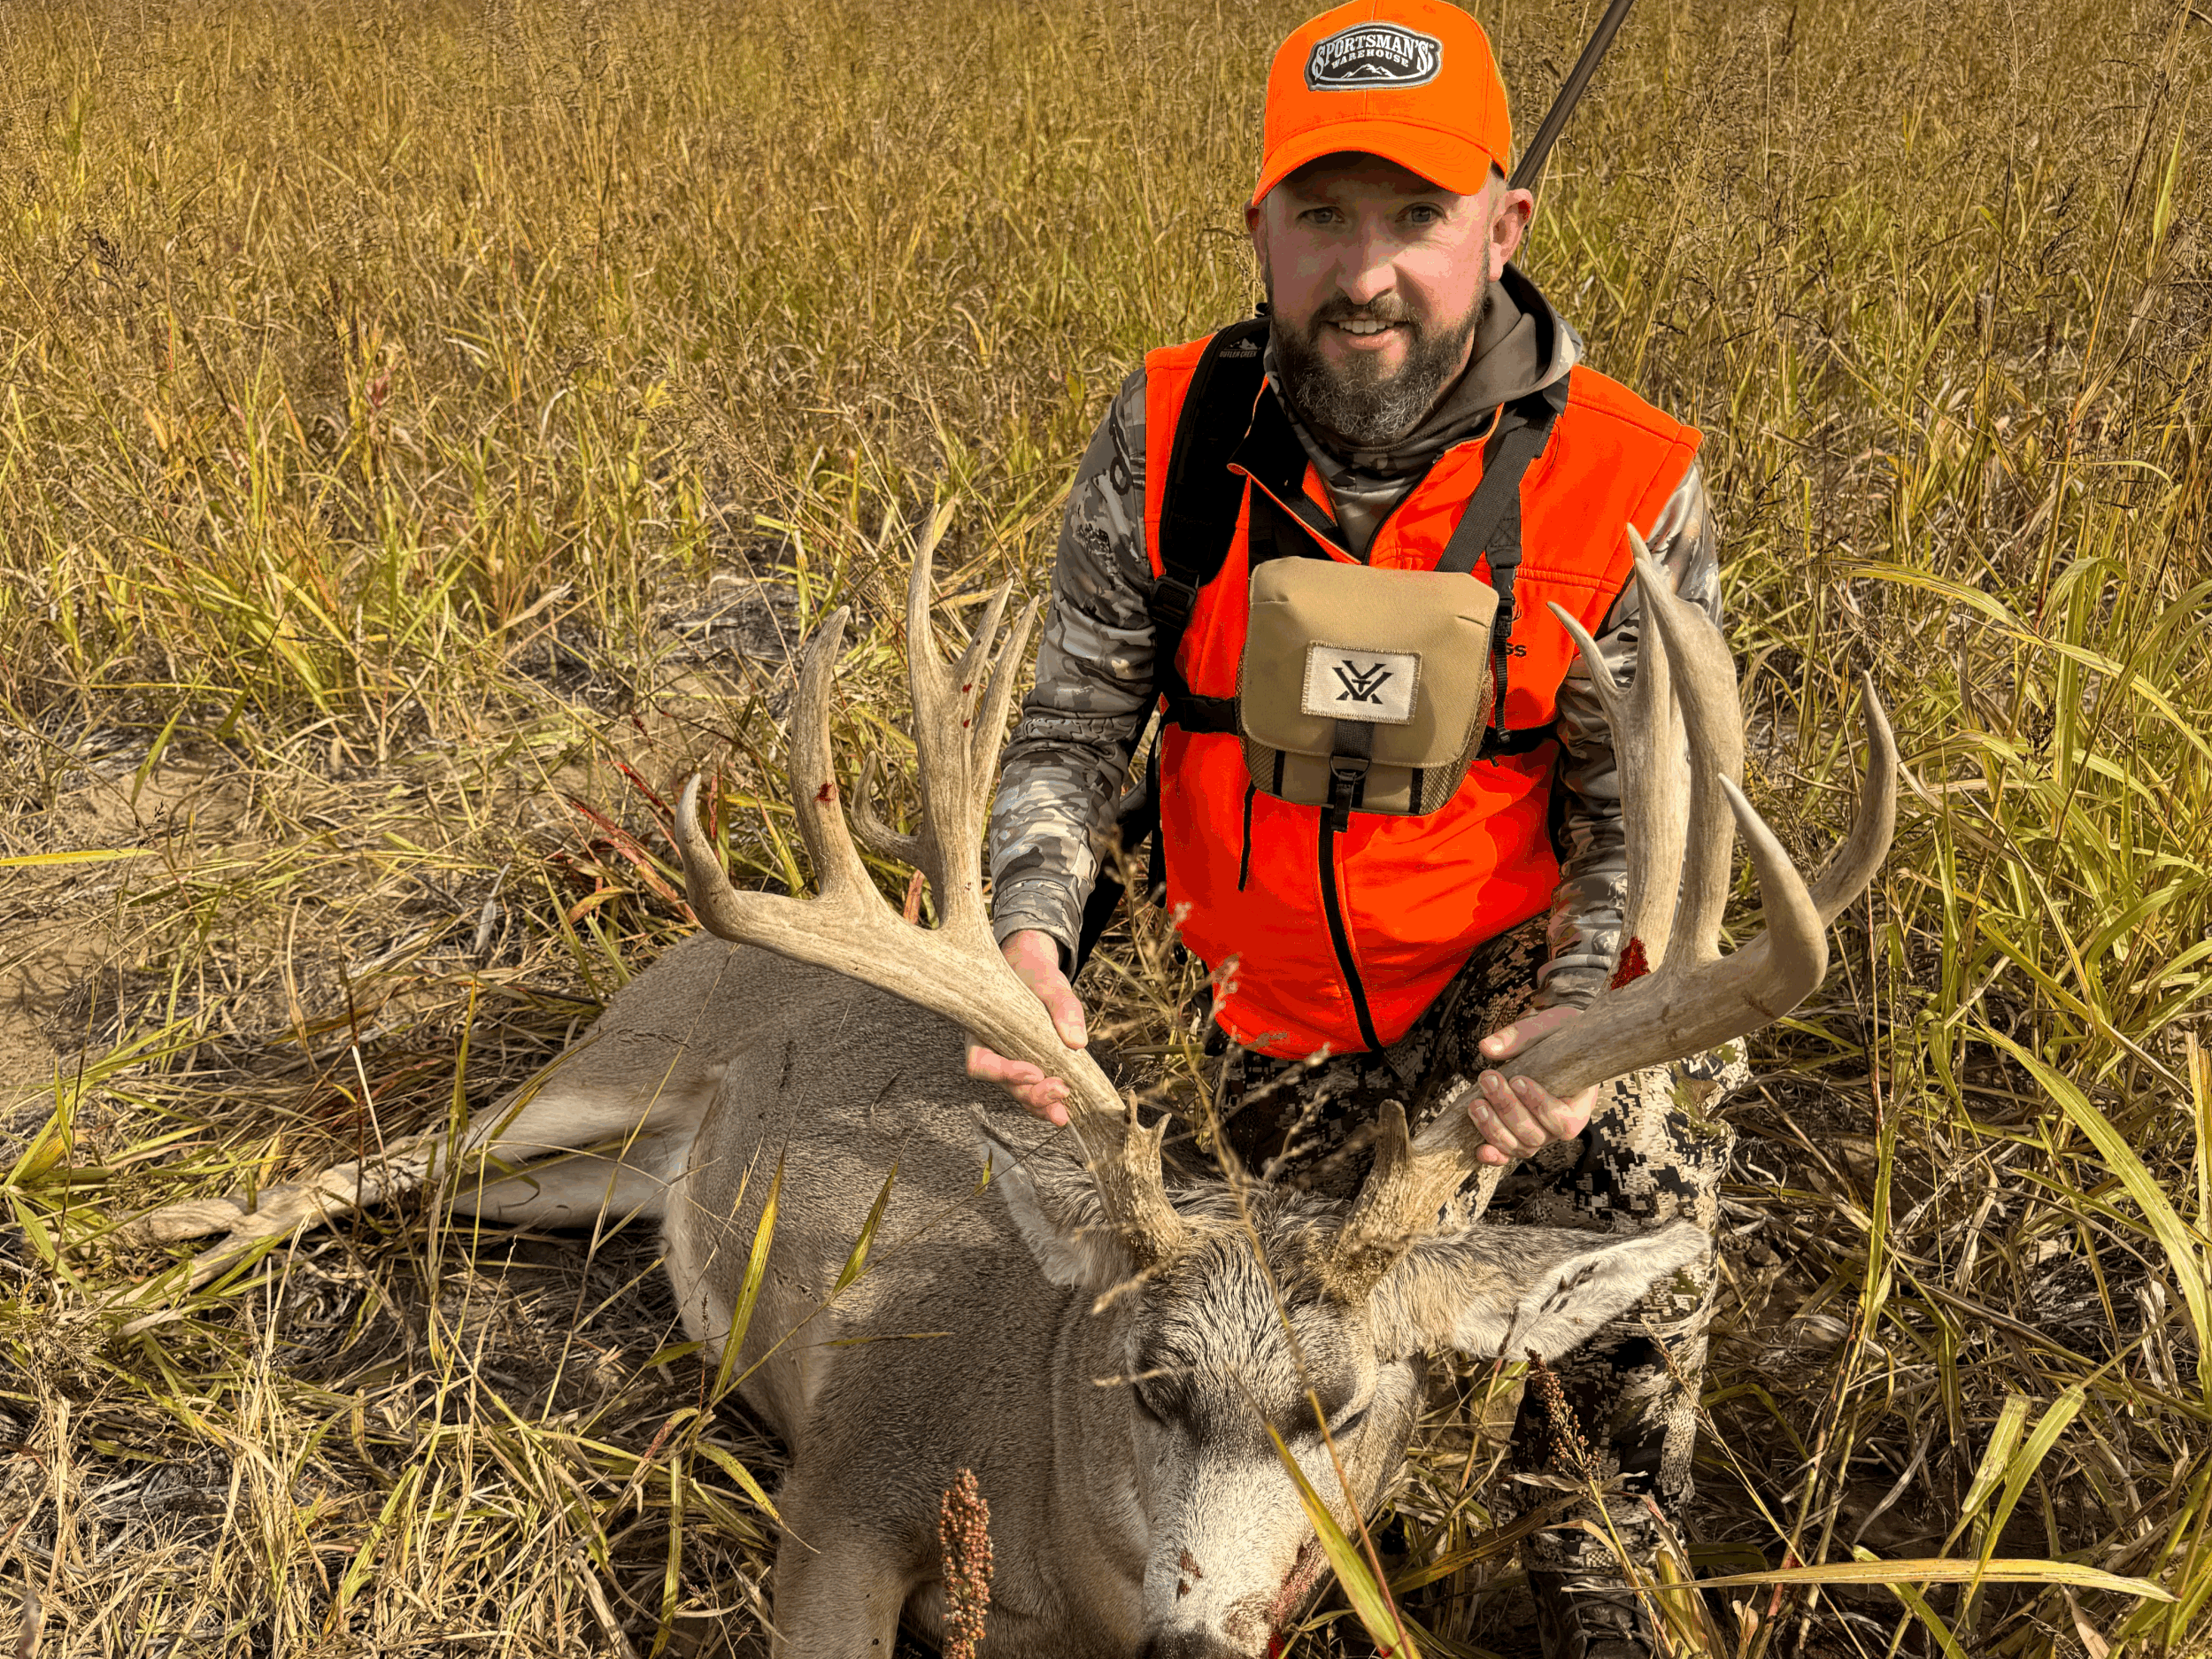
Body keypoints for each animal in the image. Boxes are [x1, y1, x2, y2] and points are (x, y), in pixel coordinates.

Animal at [127, 508, 1896, 1658]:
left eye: (1342, 1404)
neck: (1054, 1553)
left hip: (610, 1178)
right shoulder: (846, 1485)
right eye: (1147, 1377)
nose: (1198, 1636)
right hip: (616, 1054)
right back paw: (154, 1259)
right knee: (376, 1157)